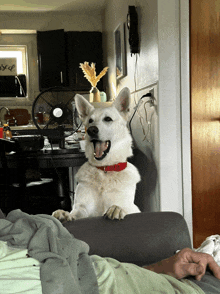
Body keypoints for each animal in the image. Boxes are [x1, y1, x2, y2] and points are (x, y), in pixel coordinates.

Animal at [52, 88, 140, 222]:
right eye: (90, 121)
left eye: (108, 119)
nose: (91, 130)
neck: (105, 169)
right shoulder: (83, 207)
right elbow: (76, 212)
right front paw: (65, 215)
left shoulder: (132, 207)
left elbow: (125, 208)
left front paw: (117, 209)